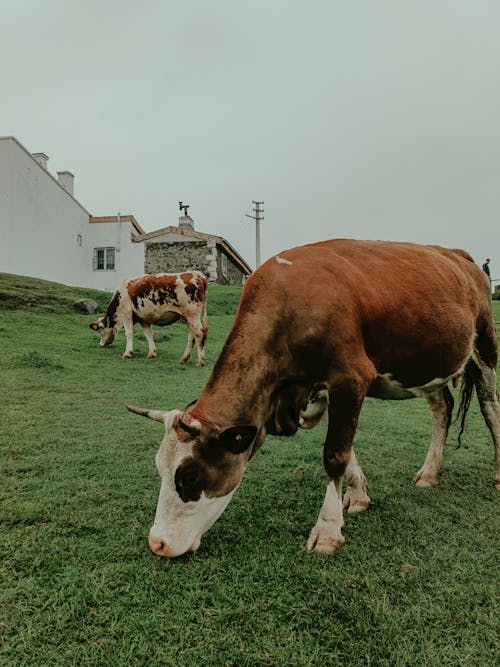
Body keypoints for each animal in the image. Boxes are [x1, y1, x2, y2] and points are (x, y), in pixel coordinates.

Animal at [126, 241, 500, 560]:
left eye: (188, 475)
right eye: (159, 468)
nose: (157, 543)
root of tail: (459, 256)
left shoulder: (351, 379)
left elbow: (335, 454)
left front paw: (328, 529)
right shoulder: (319, 393)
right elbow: (348, 450)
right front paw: (358, 494)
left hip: (484, 347)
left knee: (490, 407)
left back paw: (497, 472)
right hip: (428, 362)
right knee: (443, 407)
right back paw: (430, 471)